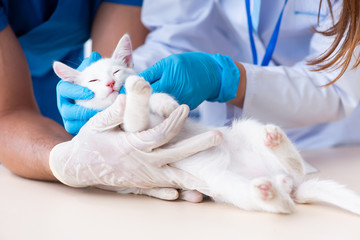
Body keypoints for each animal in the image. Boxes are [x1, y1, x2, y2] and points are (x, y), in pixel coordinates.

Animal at [52, 34, 360, 216]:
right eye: (92, 81)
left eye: (116, 71)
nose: (110, 84)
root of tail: (287, 183)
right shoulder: (134, 133)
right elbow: (135, 121)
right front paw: (138, 94)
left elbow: (158, 101)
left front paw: (161, 100)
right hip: (230, 189)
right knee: (283, 205)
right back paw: (270, 190)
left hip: (247, 129)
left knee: (294, 169)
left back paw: (275, 141)